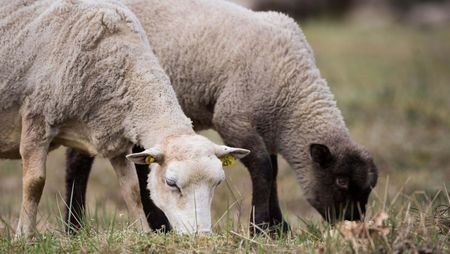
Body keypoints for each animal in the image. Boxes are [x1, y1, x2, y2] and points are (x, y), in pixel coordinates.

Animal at [0, 0, 250, 238]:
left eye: (218, 182)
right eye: (171, 183)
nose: (202, 236)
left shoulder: (115, 138)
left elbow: (133, 190)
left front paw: (144, 232)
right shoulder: (37, 118)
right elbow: (35, 183)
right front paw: (24, 236)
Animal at [65, 0, 378, 234]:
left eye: (369, 188)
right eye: (340, 181)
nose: (353, 224)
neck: (290, 91)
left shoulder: (263, 126)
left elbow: (273, 170)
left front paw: (277, 227)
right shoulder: (233, 118)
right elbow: (263, 168)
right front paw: (262, 228)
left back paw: (157, 224)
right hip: (93, 104)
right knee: (78, 160)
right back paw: (74, 227)